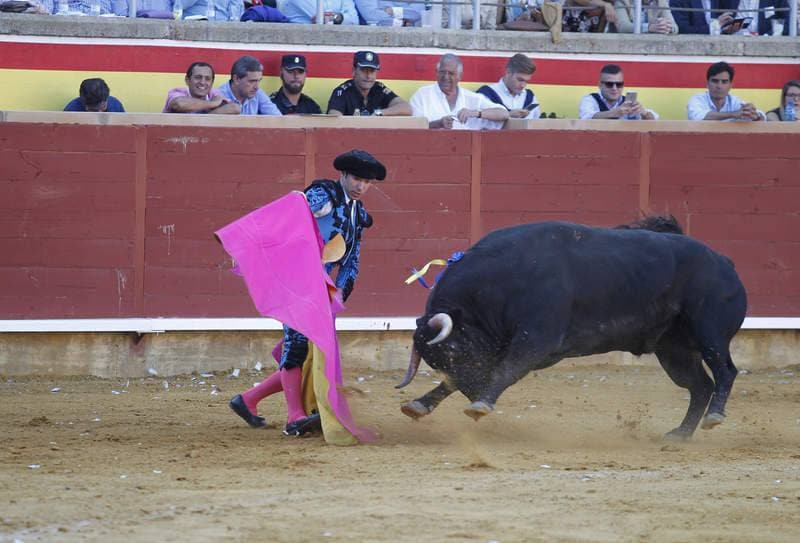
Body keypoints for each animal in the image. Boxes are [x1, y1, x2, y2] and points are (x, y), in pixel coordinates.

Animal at [396, 215, 748, 440]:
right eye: (435, 361)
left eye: (454, 350)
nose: (474, 391)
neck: (502, 280)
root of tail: (725, 262)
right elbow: (456, 381)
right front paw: (420, 405)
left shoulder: (536, 340)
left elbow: (506, 369)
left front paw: (481, 404)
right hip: (674, 351)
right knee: (699, 385)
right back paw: (681, 433)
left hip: (710, 332)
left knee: (725, 371)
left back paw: (714, 417)